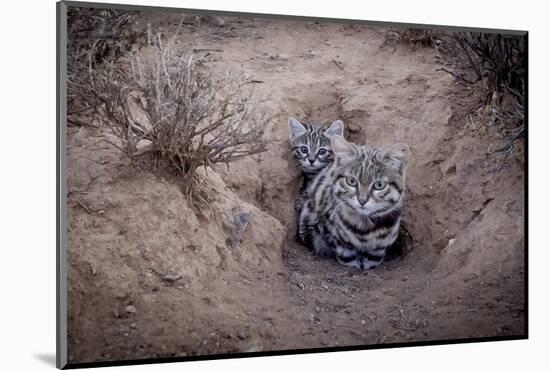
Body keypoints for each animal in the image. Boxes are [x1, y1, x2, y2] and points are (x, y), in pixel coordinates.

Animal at [300, 136, 412, 268]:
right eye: (351, 181)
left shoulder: (381, 245)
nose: (362, 201)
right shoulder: (330, 231)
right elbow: (346, 254)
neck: (364, 228)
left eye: (379, 185)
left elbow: (373, 258)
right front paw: (354, 264)